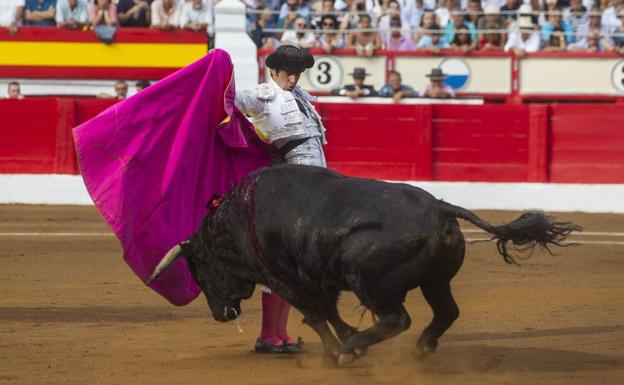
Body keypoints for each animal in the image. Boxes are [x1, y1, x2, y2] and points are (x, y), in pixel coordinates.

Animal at [146, 164, 580, 364]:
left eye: (199, 271)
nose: (220, 314)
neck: (238, 220)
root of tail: (440, 207)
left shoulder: (288, 280)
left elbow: (317, 316)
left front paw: (339, 350)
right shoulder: (320, 279)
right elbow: (330, 313)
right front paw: (345, 340)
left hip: (367, 279)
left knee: (397, 318)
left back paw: (355, 349)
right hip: (436, 279)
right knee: (445, 312)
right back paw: (421, 347)